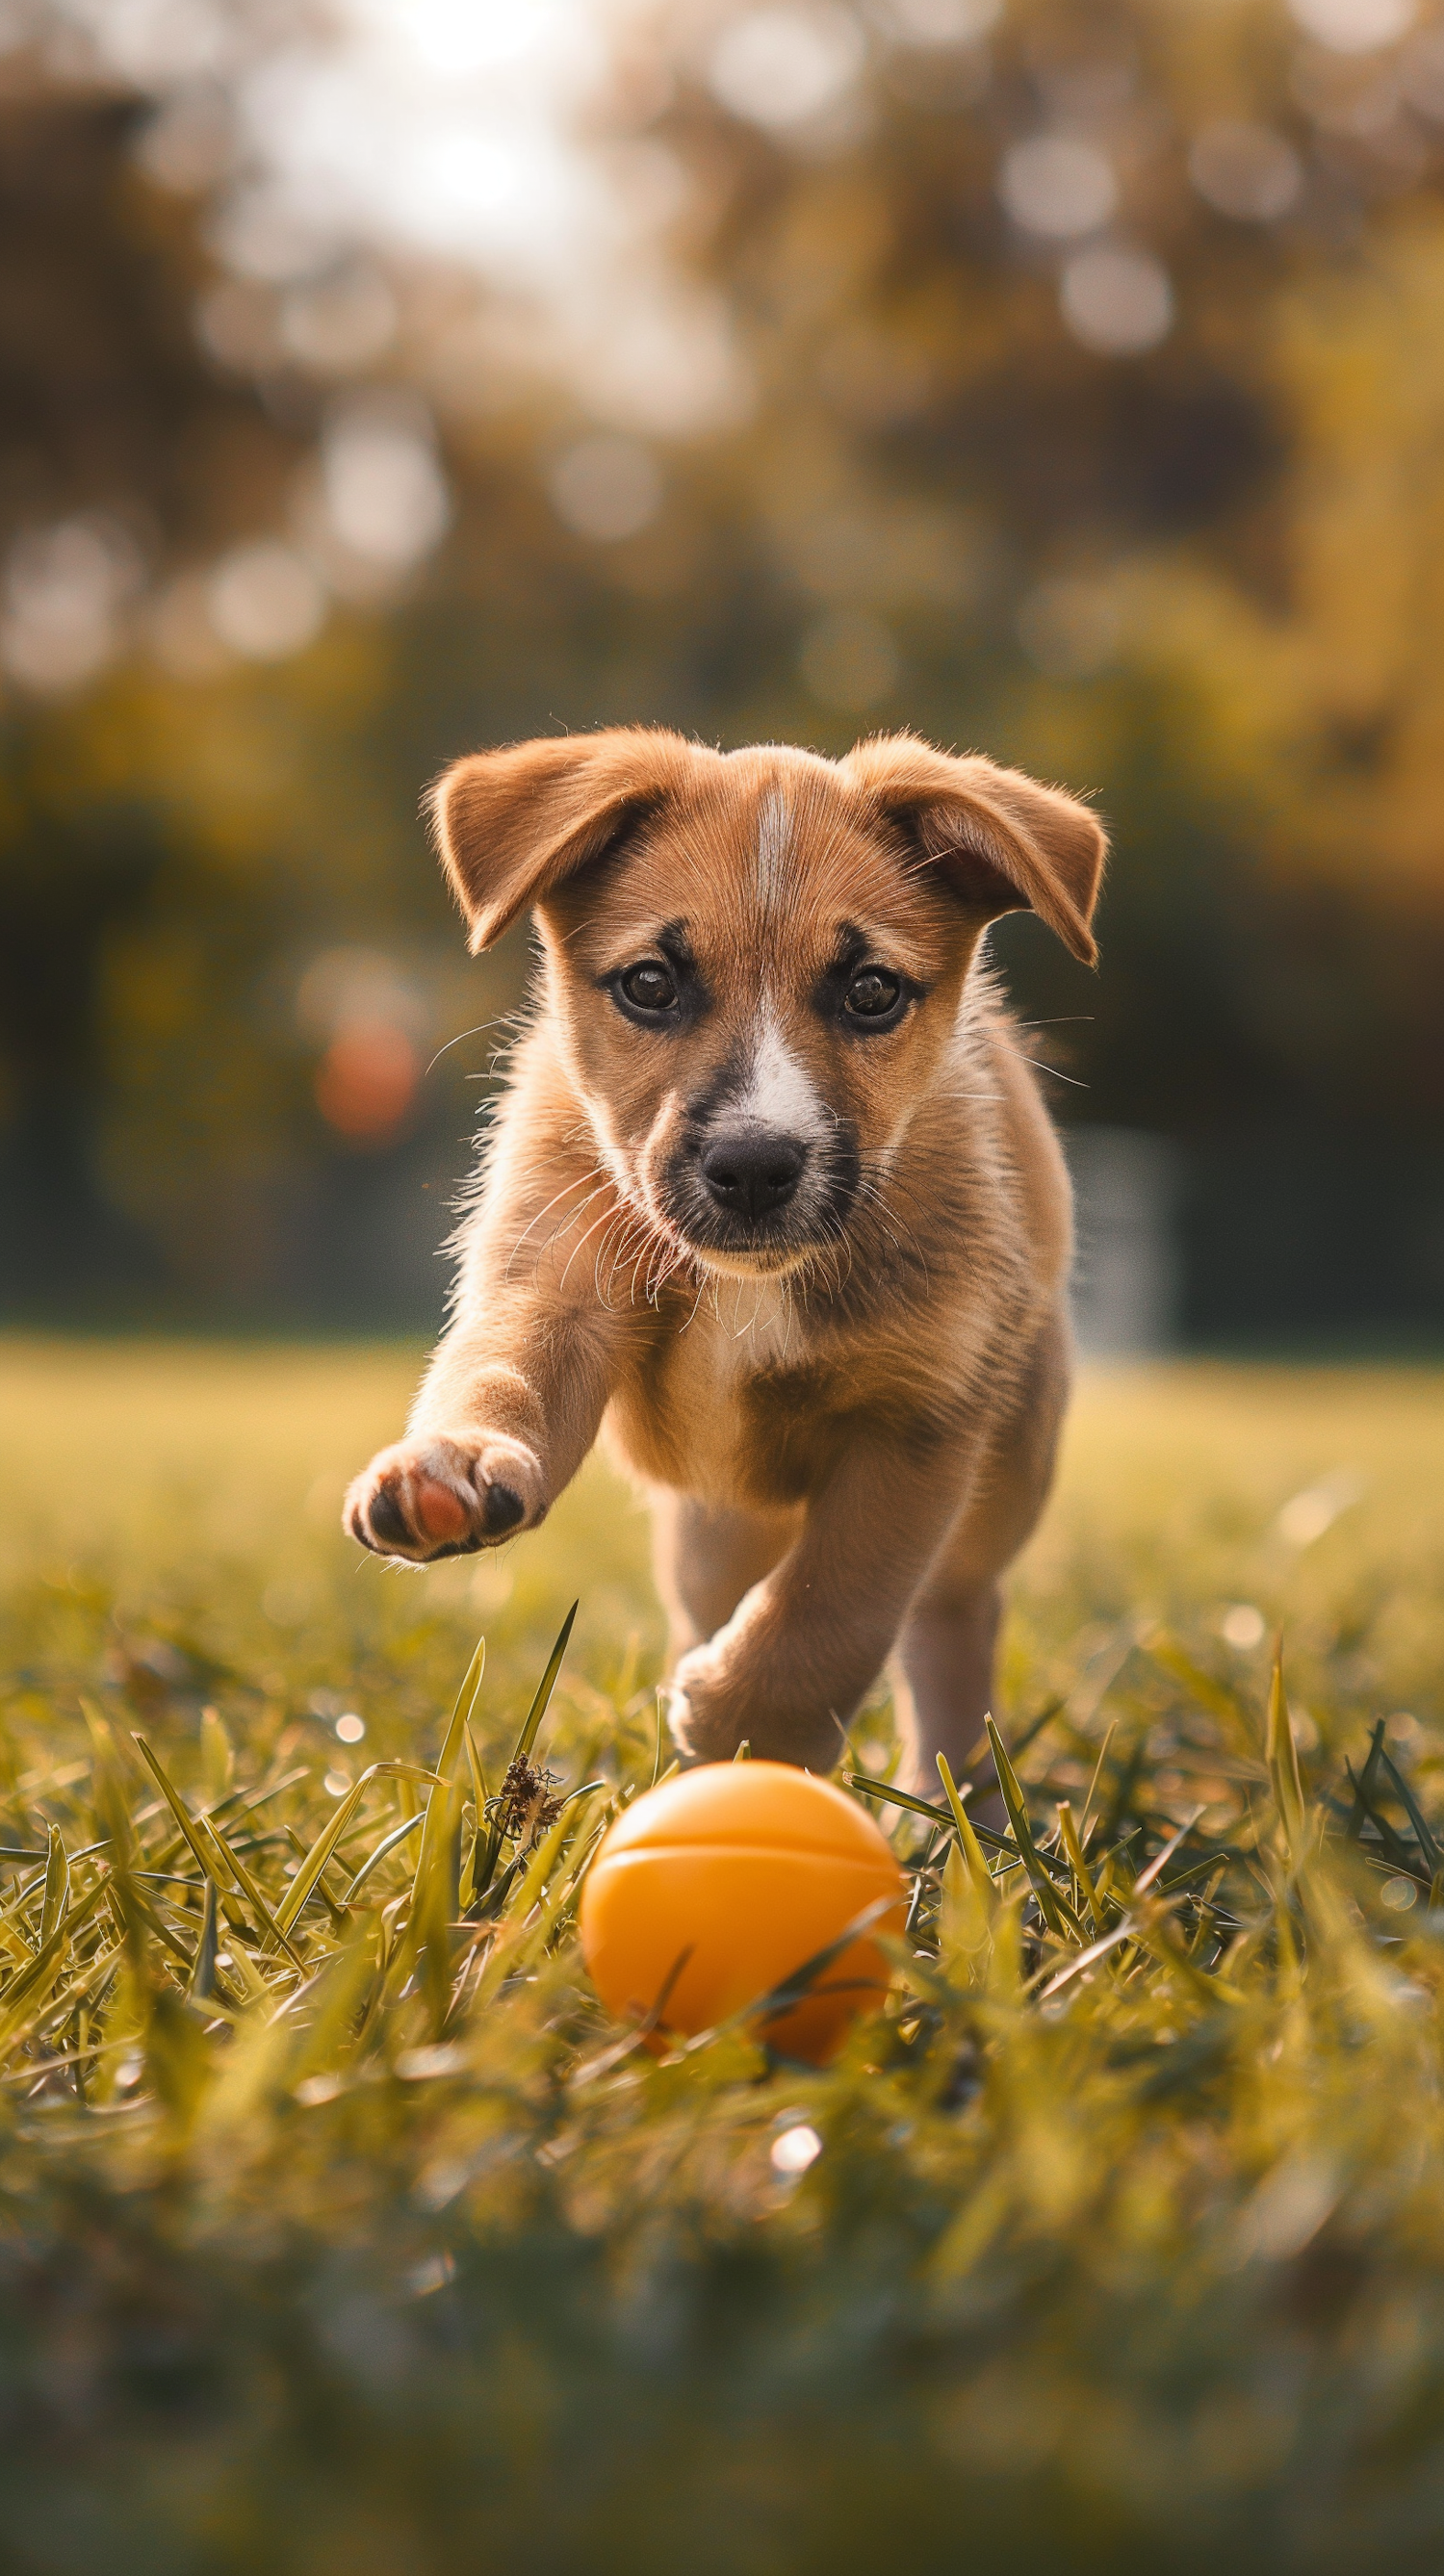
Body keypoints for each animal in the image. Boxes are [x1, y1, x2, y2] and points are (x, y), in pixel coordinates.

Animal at [339, 726, 1101, 1792]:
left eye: (872, 992)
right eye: (650, 984)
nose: (753, 1166)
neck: (753, 1287)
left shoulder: (919, 1420)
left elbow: (836, 1605)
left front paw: (748, 1723)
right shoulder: (552, 1288)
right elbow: (502, 1376)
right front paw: (450, 1460)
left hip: (1004, 1473)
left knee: (952, 1620)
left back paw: (955, 1808)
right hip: (712, 1529)